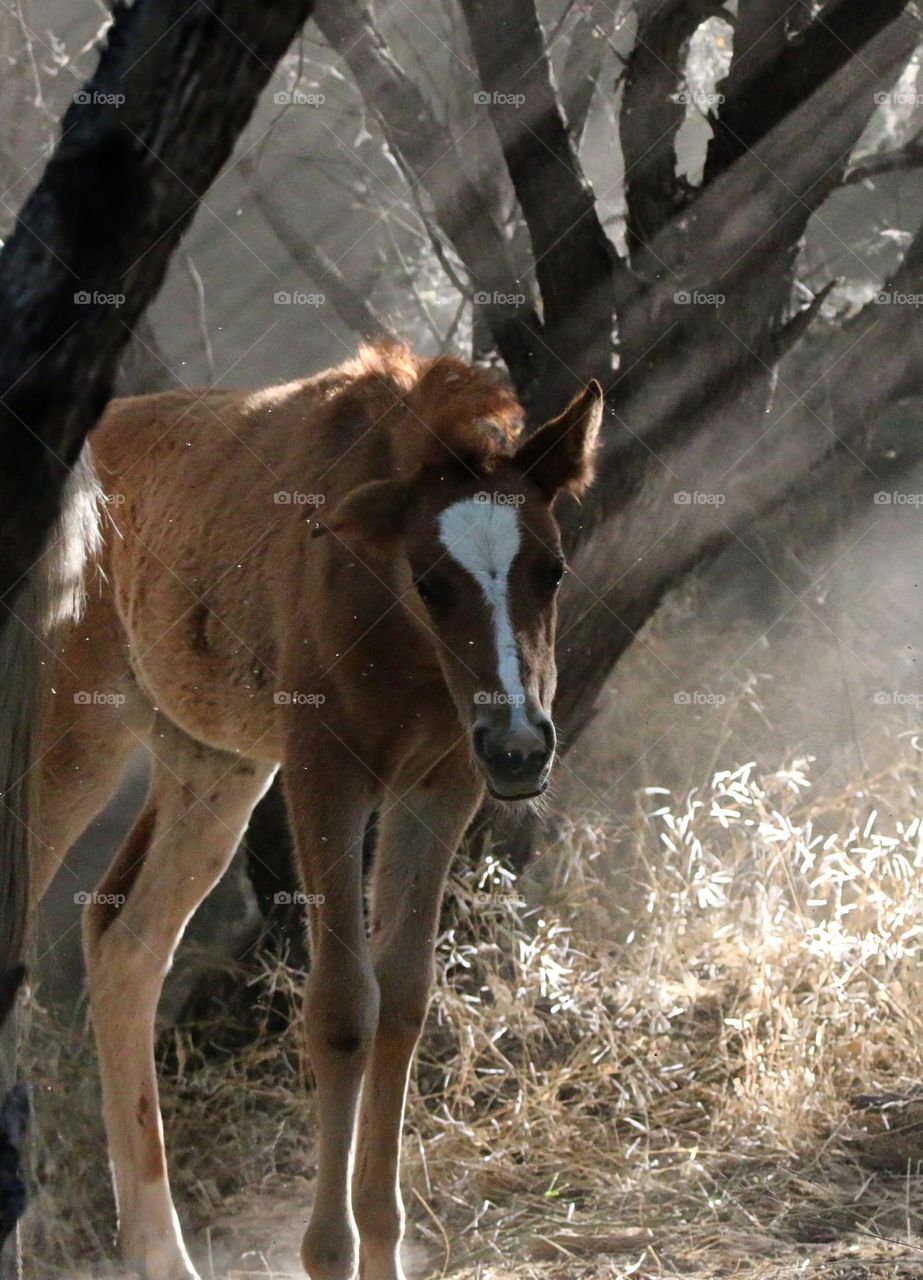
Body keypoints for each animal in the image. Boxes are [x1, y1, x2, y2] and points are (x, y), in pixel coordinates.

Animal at [29, 340, 602, 1280]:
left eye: (550, 569)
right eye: (431, 581)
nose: (521, 744)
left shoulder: (441, 783)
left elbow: (402, 998)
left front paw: (383, 1245)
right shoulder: (323, 770)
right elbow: (341, 1010)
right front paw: (329, 1254)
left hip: (212, 763)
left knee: (125, 941)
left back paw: (160, 1253)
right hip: (70, 736)